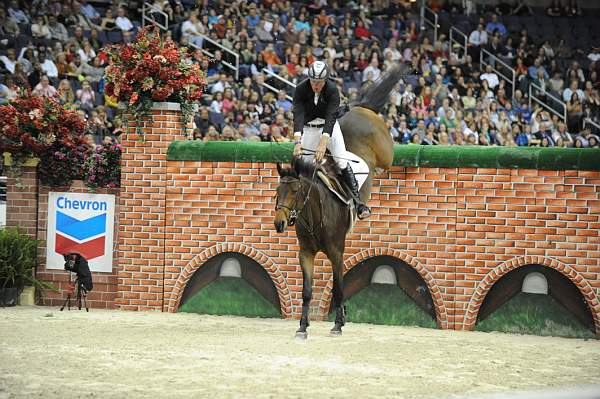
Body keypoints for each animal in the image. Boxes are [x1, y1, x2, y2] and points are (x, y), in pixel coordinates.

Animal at [274, 67, 406, 340]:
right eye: (277, 191)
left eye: (295, 191)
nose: (279, 223)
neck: (313, 214)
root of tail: (360, 109)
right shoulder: (306, 253)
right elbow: (307, 291)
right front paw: (303, 326)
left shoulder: (336, 252)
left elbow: (338, 286)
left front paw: (337, 324)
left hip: (385, 153)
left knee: (383, 159)